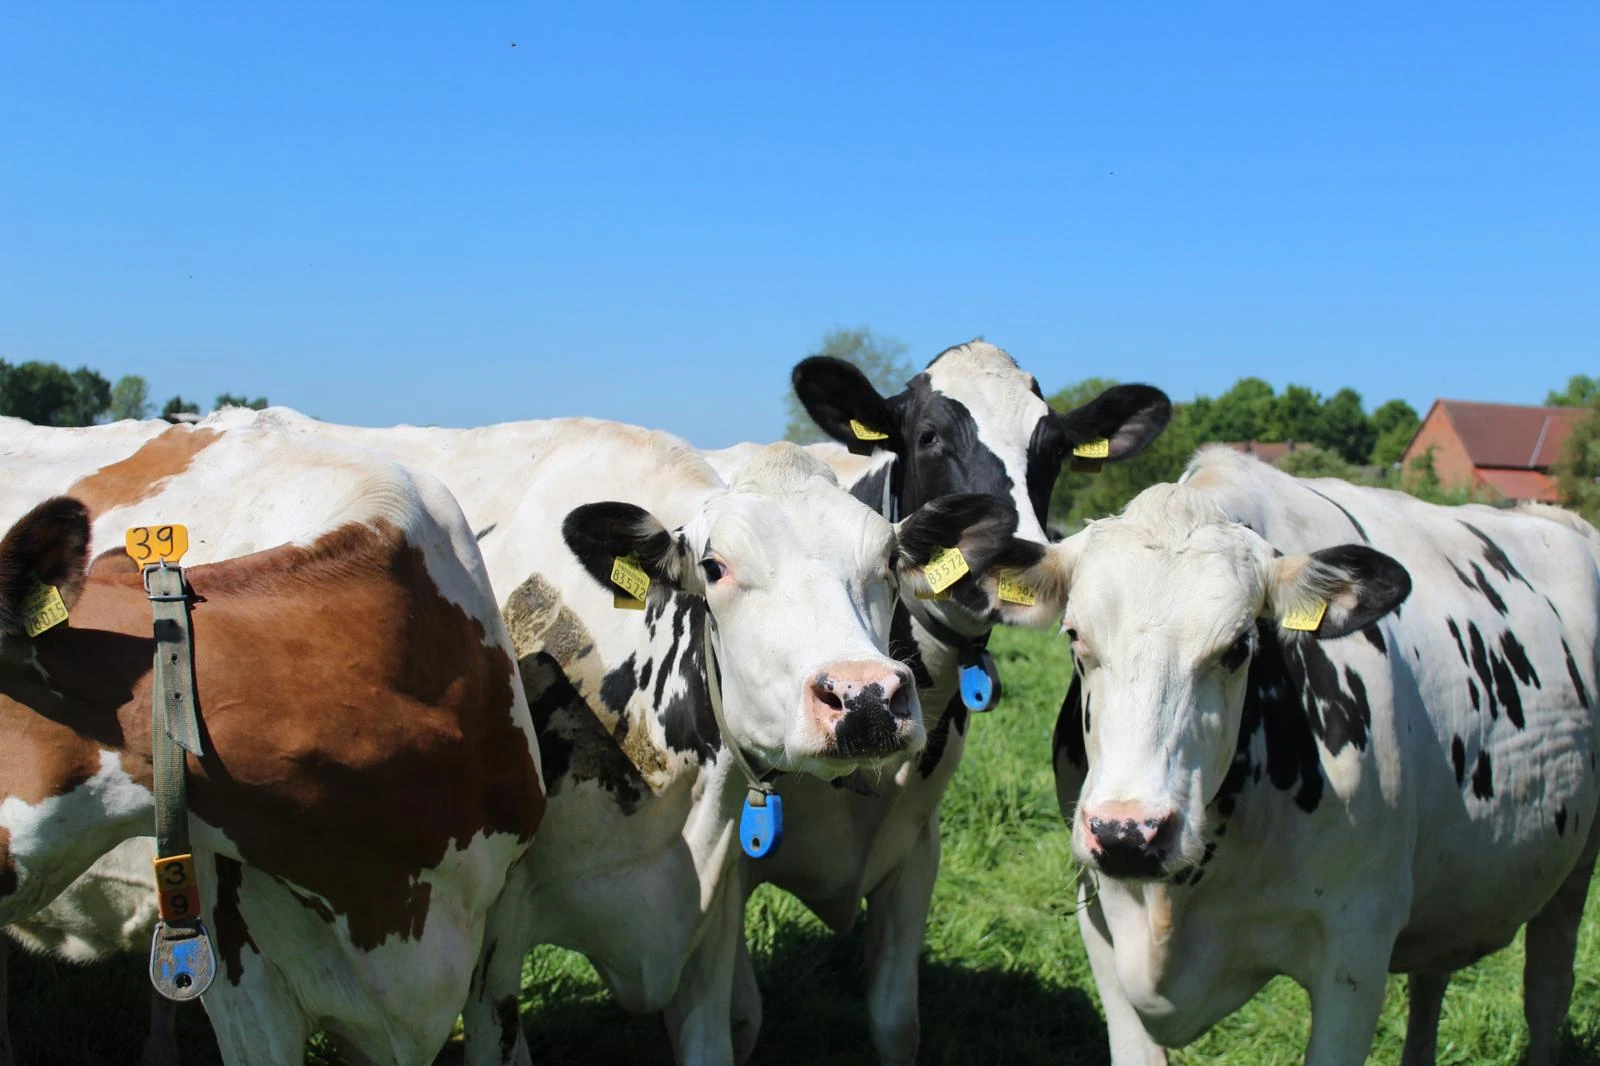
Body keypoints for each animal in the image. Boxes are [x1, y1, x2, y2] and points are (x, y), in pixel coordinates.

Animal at [697, 340, 1172, 1063]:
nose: (1011, 556)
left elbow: (897, 1023)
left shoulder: (918, 847)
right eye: (928, 436)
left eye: (1054, 449)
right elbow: (740, 1019)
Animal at [989, 445, 1600, 1065]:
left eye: (1239, 646)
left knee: (1547, 988)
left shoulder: (1356, 950)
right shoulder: (1104, 931)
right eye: (1075, 636)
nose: (1127, 833)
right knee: (1432, 979)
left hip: (1577, 864)